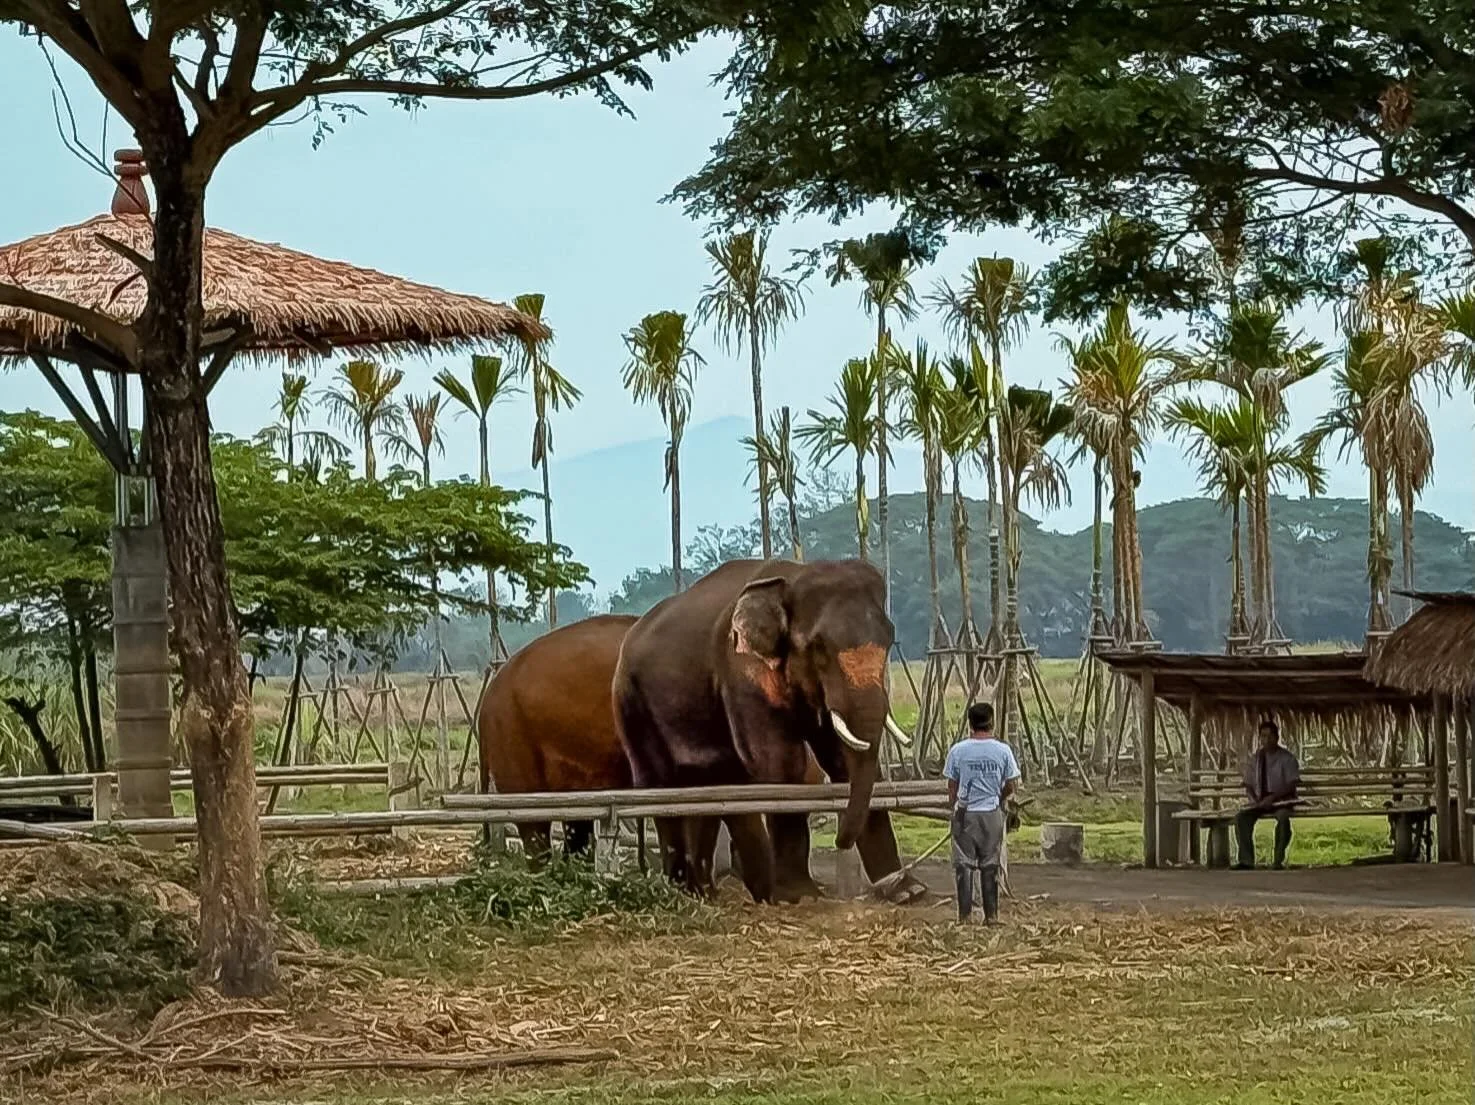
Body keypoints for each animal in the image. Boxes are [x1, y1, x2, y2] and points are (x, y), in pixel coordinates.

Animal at [613, 557, 922, 904]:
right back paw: (683, 891)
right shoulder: (742, 671)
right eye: (818, 647)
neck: (793, 576)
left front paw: (907, 891)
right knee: (663, 788)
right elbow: (780, 762)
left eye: (890, 638)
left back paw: (705, 893)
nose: (839, 842)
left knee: (710, 788)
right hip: (631, 703)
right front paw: (799, 895)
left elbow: (840, 757)